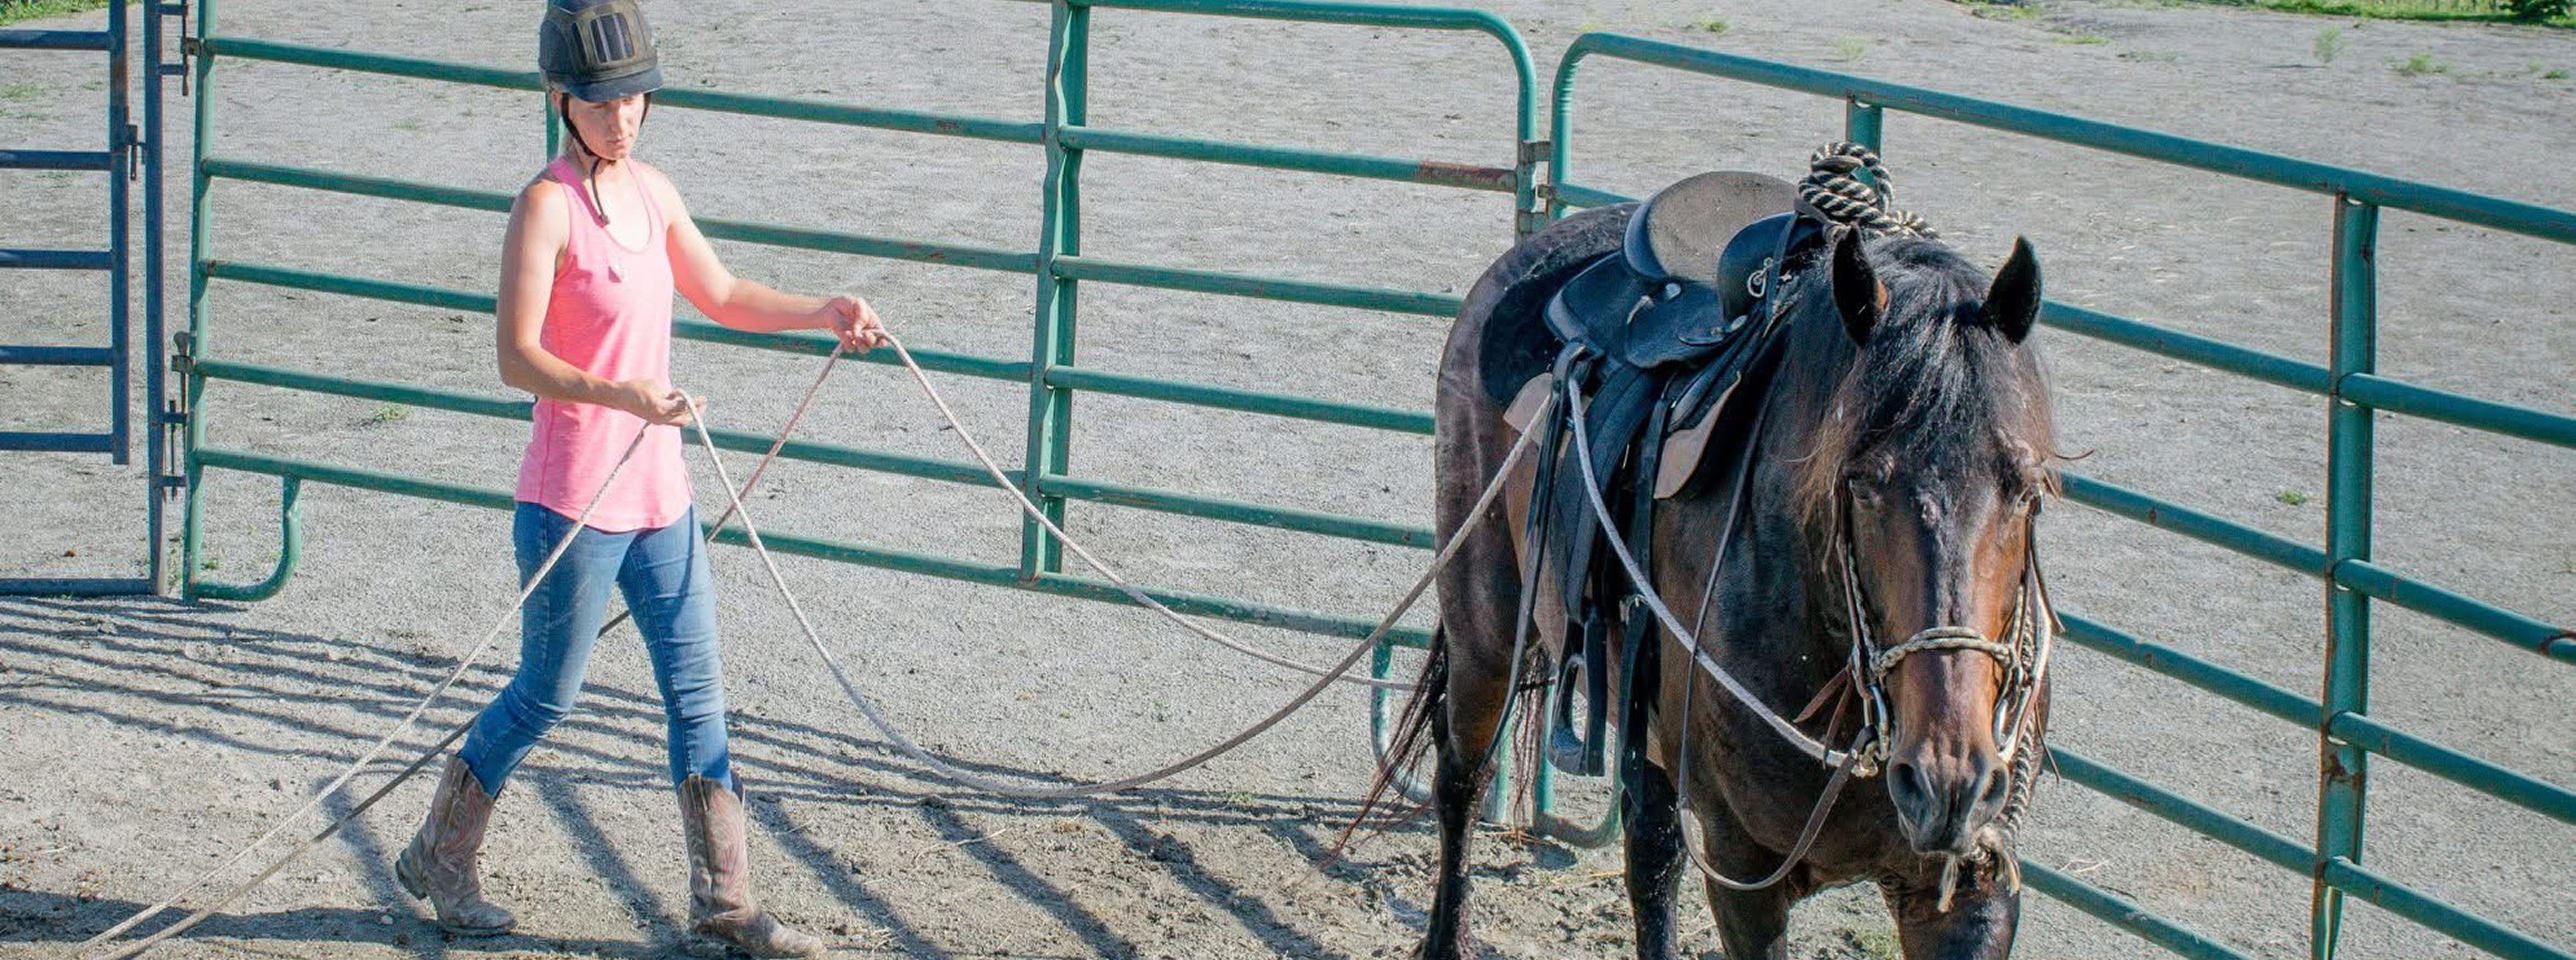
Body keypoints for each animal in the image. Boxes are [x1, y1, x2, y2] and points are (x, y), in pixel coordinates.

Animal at [1384, 196, 2059, 960]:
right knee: (1463, 777)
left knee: (1649, 854)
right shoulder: (1744, 876)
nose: (1948, 781)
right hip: (1487, 631)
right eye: (1860, 483)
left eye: (2027, 488)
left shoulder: (1966, 889)